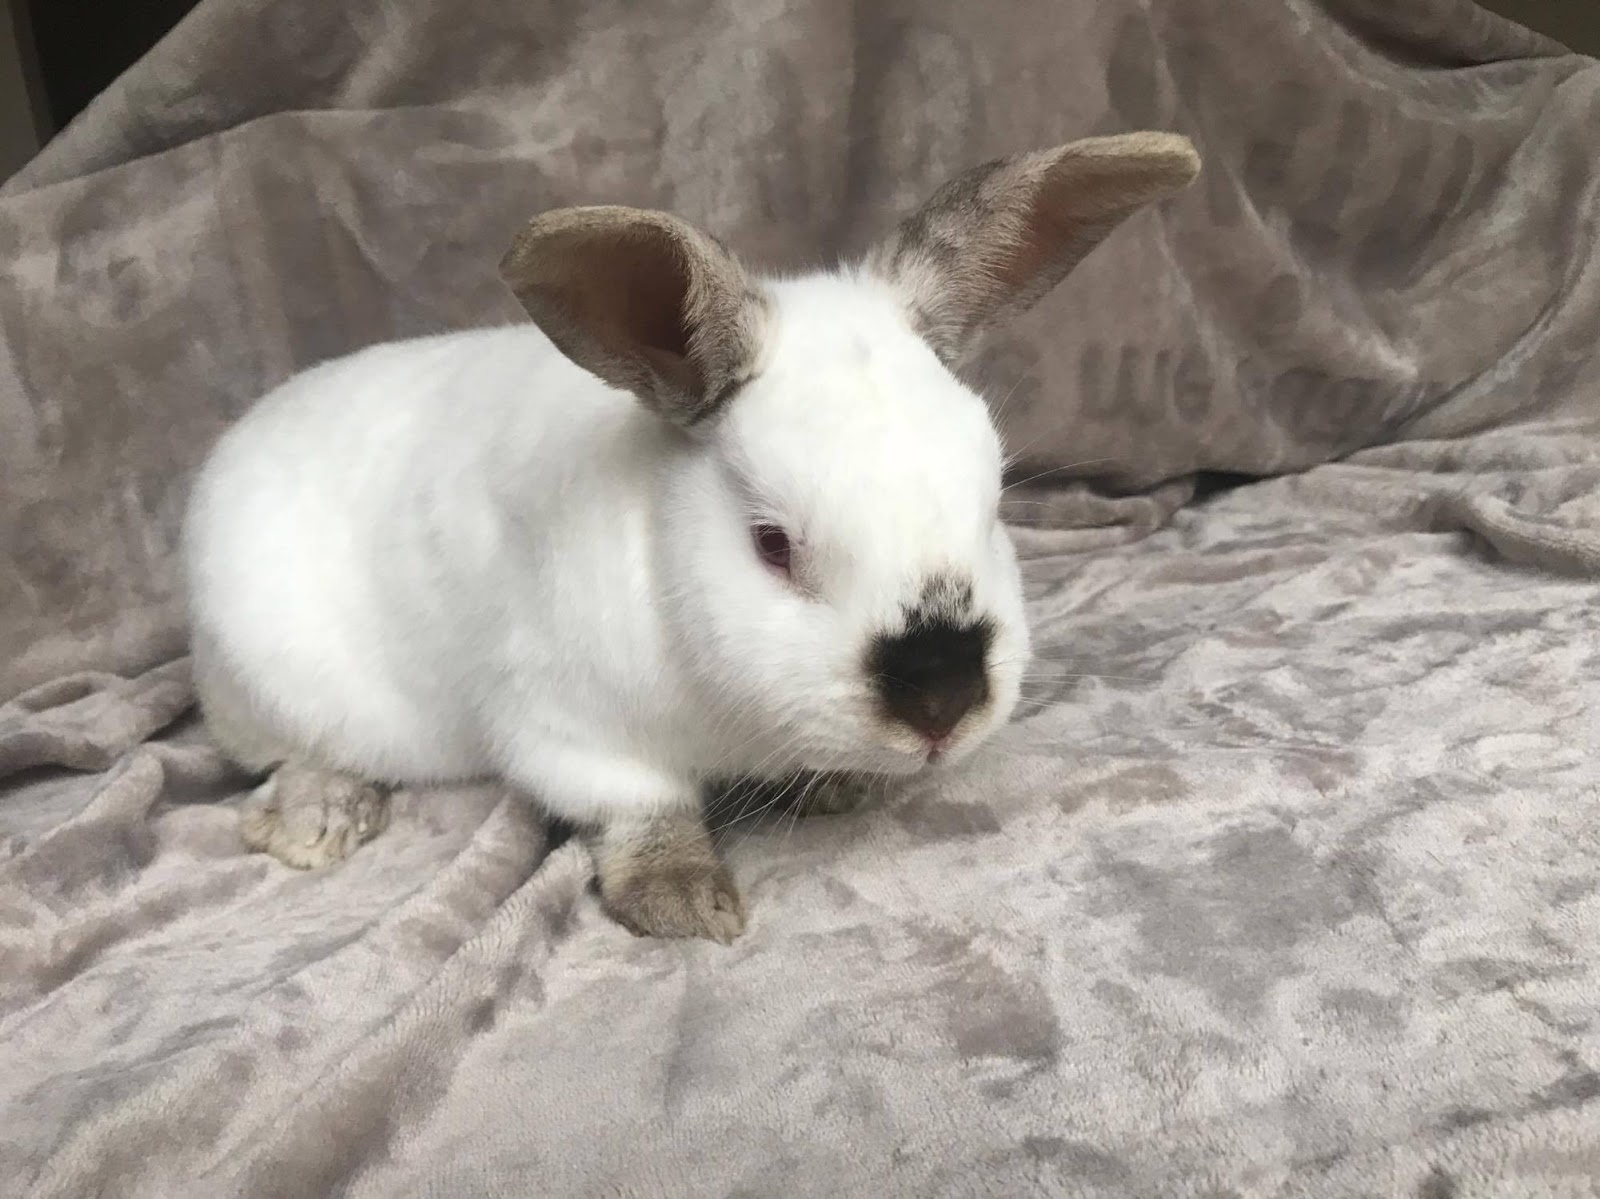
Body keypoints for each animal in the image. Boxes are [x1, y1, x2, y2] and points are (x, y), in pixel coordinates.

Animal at [182, 132, 1200, 943]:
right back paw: (318, 817)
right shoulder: (562, 728)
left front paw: (842, 783)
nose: (942, 700)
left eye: (991, 503)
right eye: (772, 543)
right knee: (281, 754)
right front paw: (684, 898)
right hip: (276, 687)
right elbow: (641, 806)